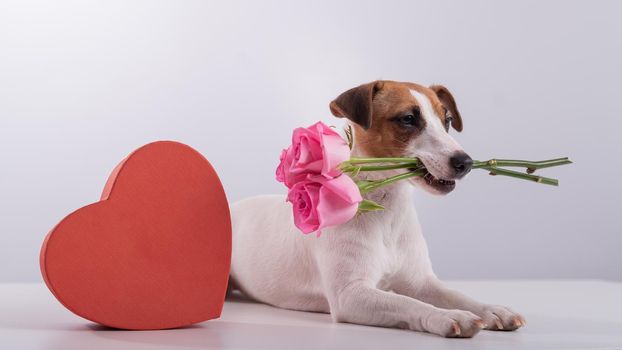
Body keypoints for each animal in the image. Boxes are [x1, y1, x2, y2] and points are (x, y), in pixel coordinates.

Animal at [230, 80, 528, 338]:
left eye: (447, 122)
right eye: (408, 119)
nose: (465, 162)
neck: (387, 211)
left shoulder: (421, 282)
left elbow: (456, 295)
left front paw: (491, 310)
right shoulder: (350, 295)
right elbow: (410, 304)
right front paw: (447, 316)